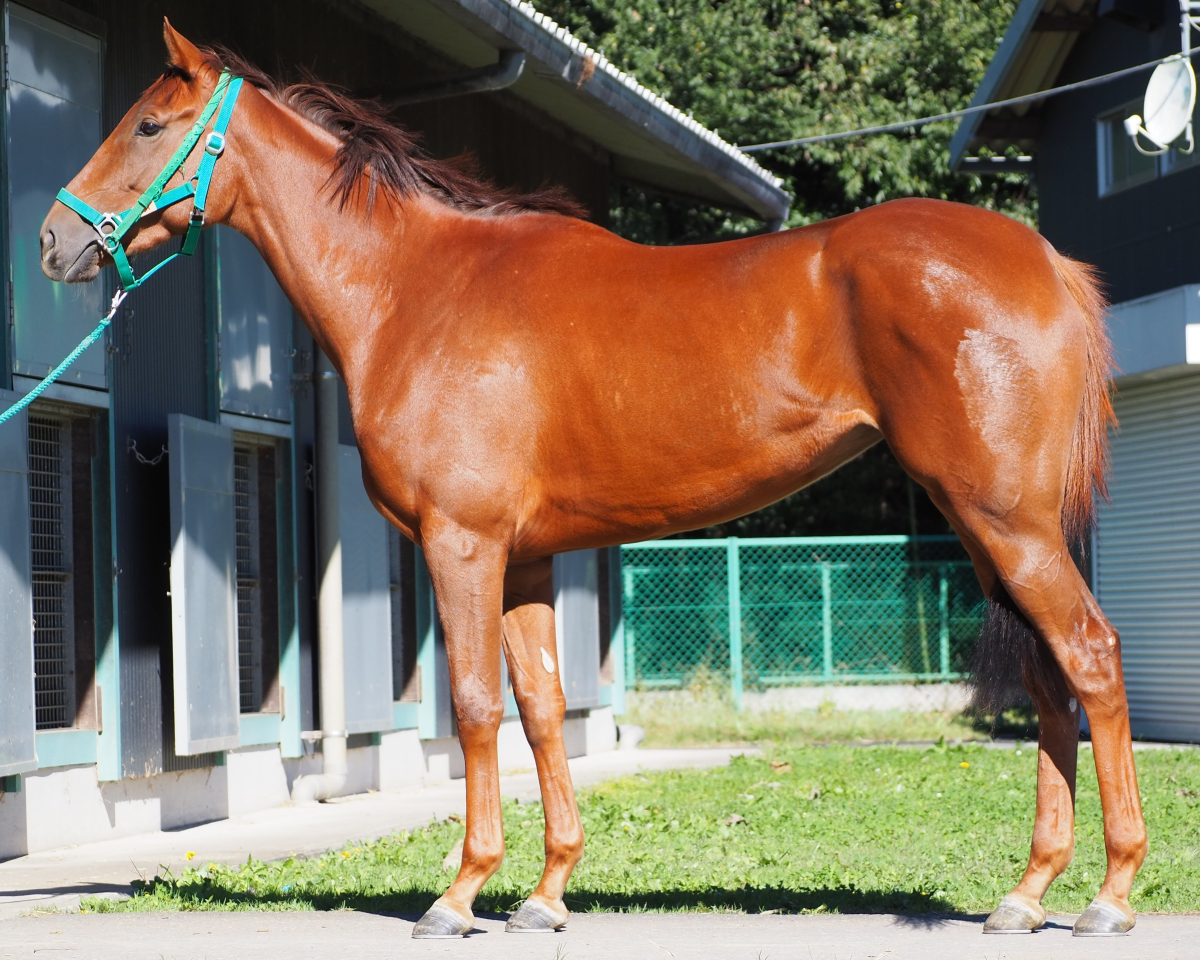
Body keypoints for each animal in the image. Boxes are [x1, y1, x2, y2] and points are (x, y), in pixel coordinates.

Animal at [39, 21, 1145, 939]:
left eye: (149, 124)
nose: (54, 240)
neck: (414, 290)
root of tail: (1047, 263)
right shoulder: (524, 561)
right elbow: (539, 707)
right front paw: (544, 893)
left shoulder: (463, 545)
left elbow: (475, 706)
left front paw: (458, 895)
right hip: (990, 530)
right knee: (1048, 678)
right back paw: (1025, 895)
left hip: (1008, 523)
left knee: (1090, 656)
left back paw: (1110, 894)